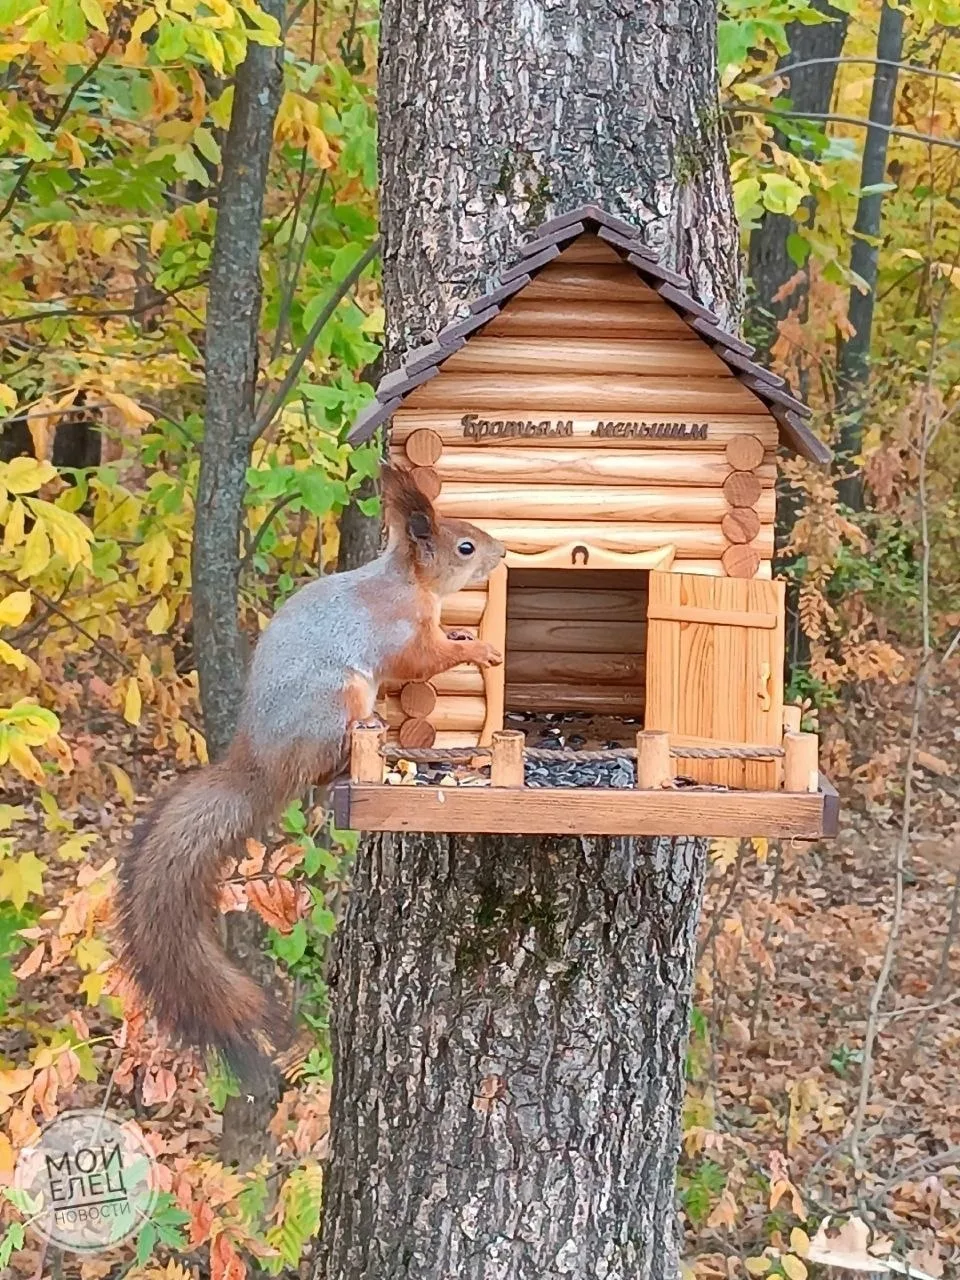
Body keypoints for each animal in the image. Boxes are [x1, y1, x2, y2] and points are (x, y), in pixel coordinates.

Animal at [115, 464, 506, 1079]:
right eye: (465, 547)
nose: (504, 551)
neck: (407, 584)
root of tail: (260, 766)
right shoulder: (400, 633)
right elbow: (422, 662)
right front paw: (477, 650)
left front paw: (466, 636)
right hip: (336, 701)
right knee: (326, 769)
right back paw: (383, 743)